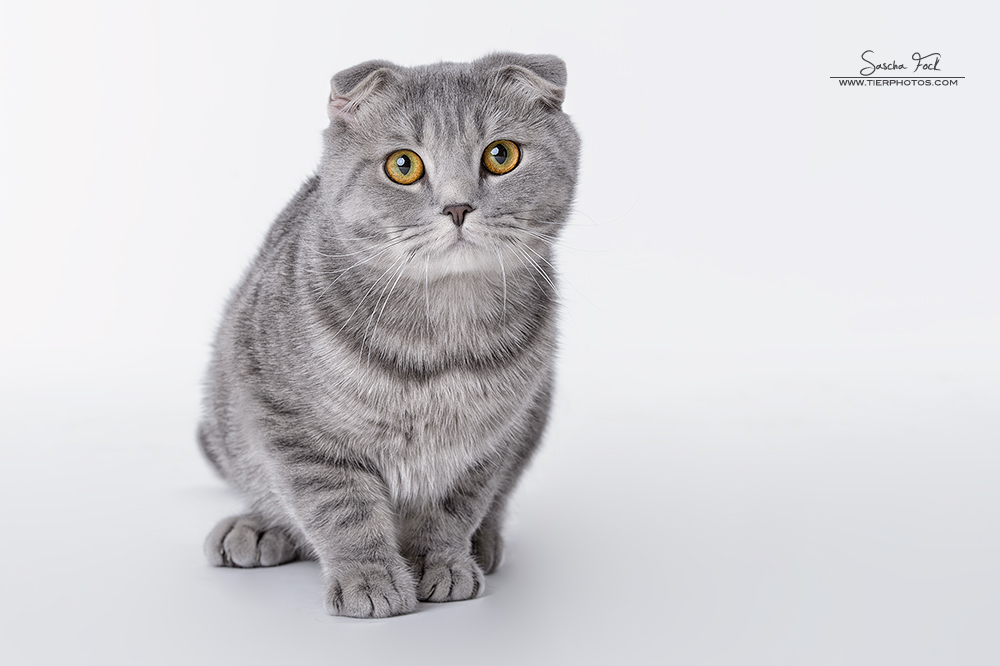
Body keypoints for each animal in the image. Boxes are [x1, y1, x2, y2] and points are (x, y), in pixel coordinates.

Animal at [199, 53, 584, 616]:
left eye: (501, 155)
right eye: (404, 166)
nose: (458, 207)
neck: (441, 335)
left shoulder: (489, 441)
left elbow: (453, 508)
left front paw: (442, 563)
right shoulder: (291, 425)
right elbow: (340, 508)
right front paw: (370, 578)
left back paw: (485, 543)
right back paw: (255, 528)